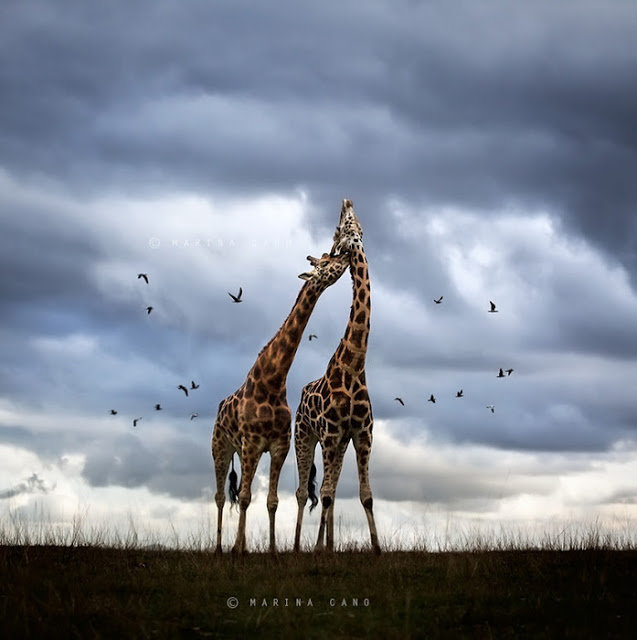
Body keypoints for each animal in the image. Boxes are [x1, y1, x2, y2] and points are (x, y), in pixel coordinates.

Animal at [212, 250, 350, 554]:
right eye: (325, 262)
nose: (345, 255)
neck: (272, 382)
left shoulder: (278, 446)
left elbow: (270, 500)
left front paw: (272, 551)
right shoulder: (252, 443)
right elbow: (245, 497)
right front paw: (238, 551)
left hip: (241, 452)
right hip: (221, 447)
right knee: (220, 496)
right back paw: (220, 549)